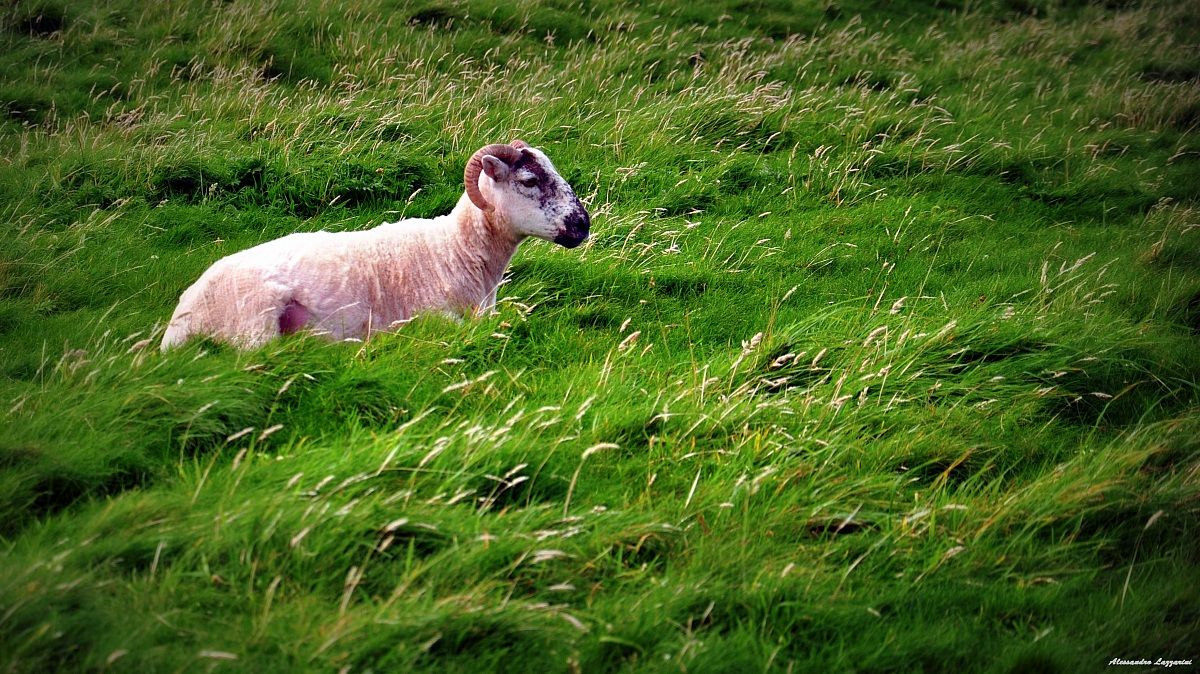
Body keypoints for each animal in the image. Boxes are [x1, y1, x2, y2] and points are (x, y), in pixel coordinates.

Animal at [161, 140, 590, 350]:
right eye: (529, 181)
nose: (582, 224)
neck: (454, 251)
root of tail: (180, 317)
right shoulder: (434, 318)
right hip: (255, 317)